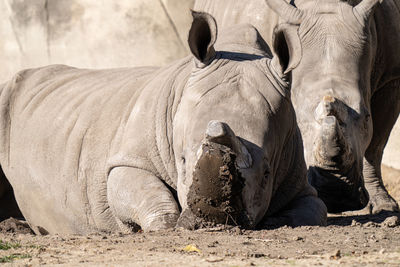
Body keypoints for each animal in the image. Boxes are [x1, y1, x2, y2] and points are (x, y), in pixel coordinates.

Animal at [0, 12, 326, 234]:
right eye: (181, 161)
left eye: (268, 173)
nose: (212, 221)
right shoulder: (128, 158)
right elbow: (152, 201)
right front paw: (158, 225)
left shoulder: (298, 175)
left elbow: (315, 210)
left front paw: (275, 219)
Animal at [195, 0, 400, 215]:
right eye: (298, 122)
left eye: (367, 118)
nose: (335, 196)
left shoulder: (391, 78)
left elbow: (375, 146)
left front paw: (383, 205)